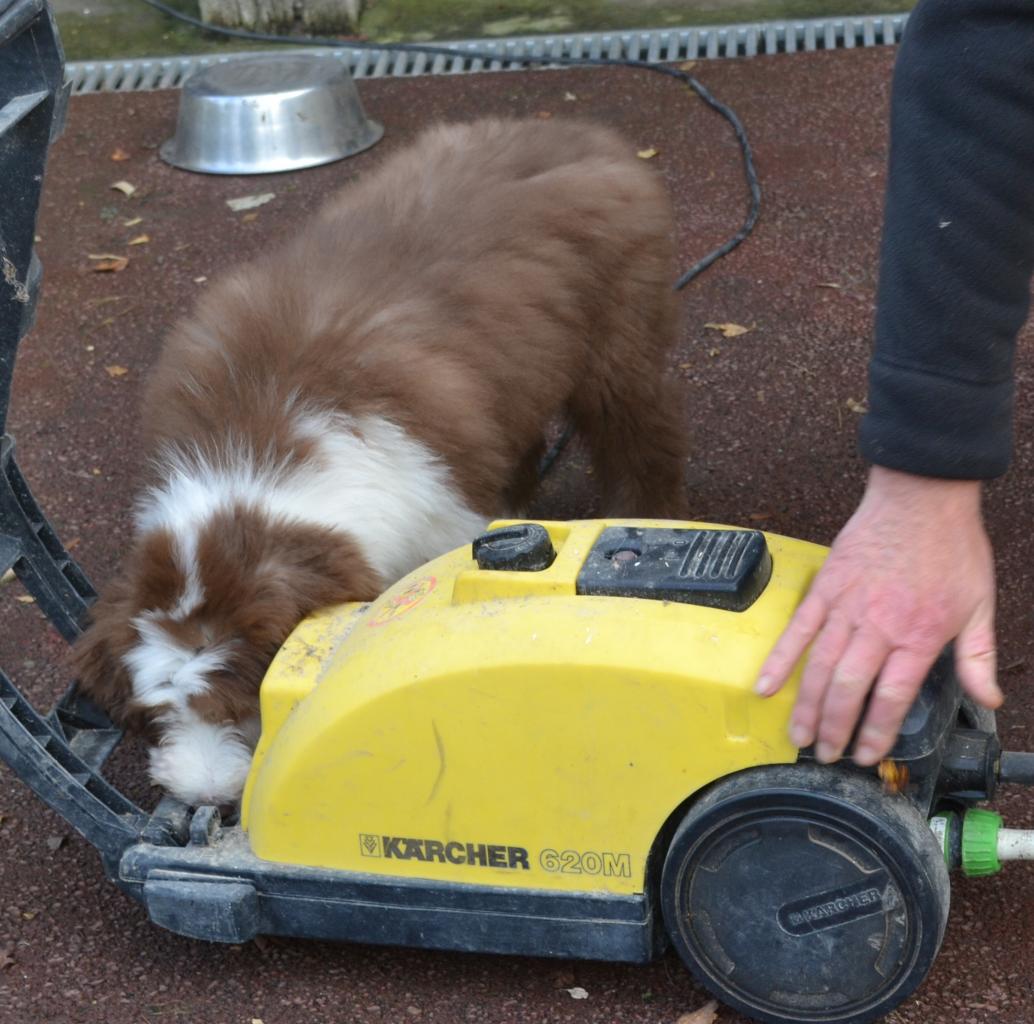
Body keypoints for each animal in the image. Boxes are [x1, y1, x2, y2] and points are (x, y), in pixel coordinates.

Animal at [70, 118, 686, 810]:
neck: (259, 459)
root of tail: (577, 132)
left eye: (243, 707)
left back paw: (647, 512)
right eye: (158, 715)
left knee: (645, 437)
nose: (206, 795)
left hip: (620, 341)